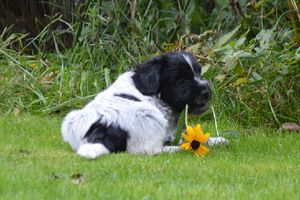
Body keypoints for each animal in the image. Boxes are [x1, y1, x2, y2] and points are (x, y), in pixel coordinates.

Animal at [61, 52, 224, 159]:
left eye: (199, 73)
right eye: (181, 81)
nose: (207, 92)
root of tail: (104, 125)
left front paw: (214, 140)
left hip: (71, 119)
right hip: (149, 115)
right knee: (149, 150)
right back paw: (176, 150)